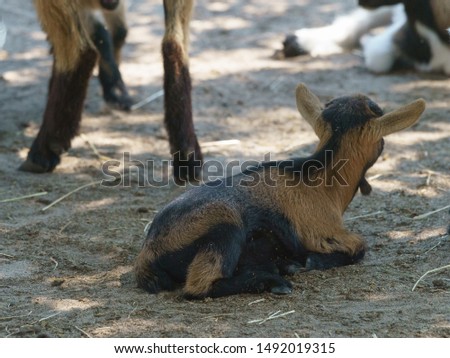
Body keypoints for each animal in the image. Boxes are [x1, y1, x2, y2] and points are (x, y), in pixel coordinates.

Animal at [134, 82, 426, 298]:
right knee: (197, 286)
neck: (320, 179)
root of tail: (149, 253)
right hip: (225, 226)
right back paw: (272, 281)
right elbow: (359, 247)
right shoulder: (325, 233)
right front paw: (307, 263)